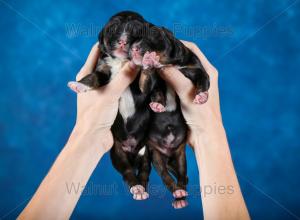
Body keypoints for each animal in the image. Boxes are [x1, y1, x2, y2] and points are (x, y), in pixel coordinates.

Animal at [68, 11, 152, 199]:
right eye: (114, 28)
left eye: (136, 31)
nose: (122, 41)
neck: (120, 63)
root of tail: (132, 151)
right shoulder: (103, 68)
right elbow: (93, 77)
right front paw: (79, 85)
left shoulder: (143, 88)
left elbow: (145, 80)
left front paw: (145, 61)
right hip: (117, 152)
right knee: (127, 171)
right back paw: (136, 187)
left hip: (147, 150)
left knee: (144, 171)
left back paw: (141, 189)